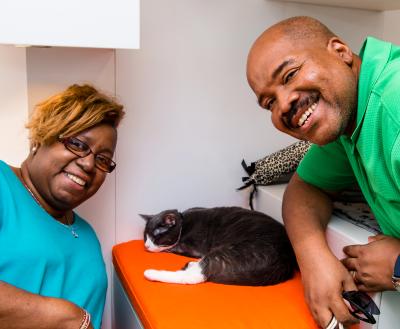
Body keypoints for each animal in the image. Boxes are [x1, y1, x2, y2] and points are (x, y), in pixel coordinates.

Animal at [141, 205, 296, 284]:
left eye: (155, 237)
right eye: (145, 237)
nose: (146, 246)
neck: (183, 222)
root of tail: (284, 262)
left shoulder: (194, 246)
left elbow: (172, 247)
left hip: (234, 252)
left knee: (195, 276)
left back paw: (150, 273)